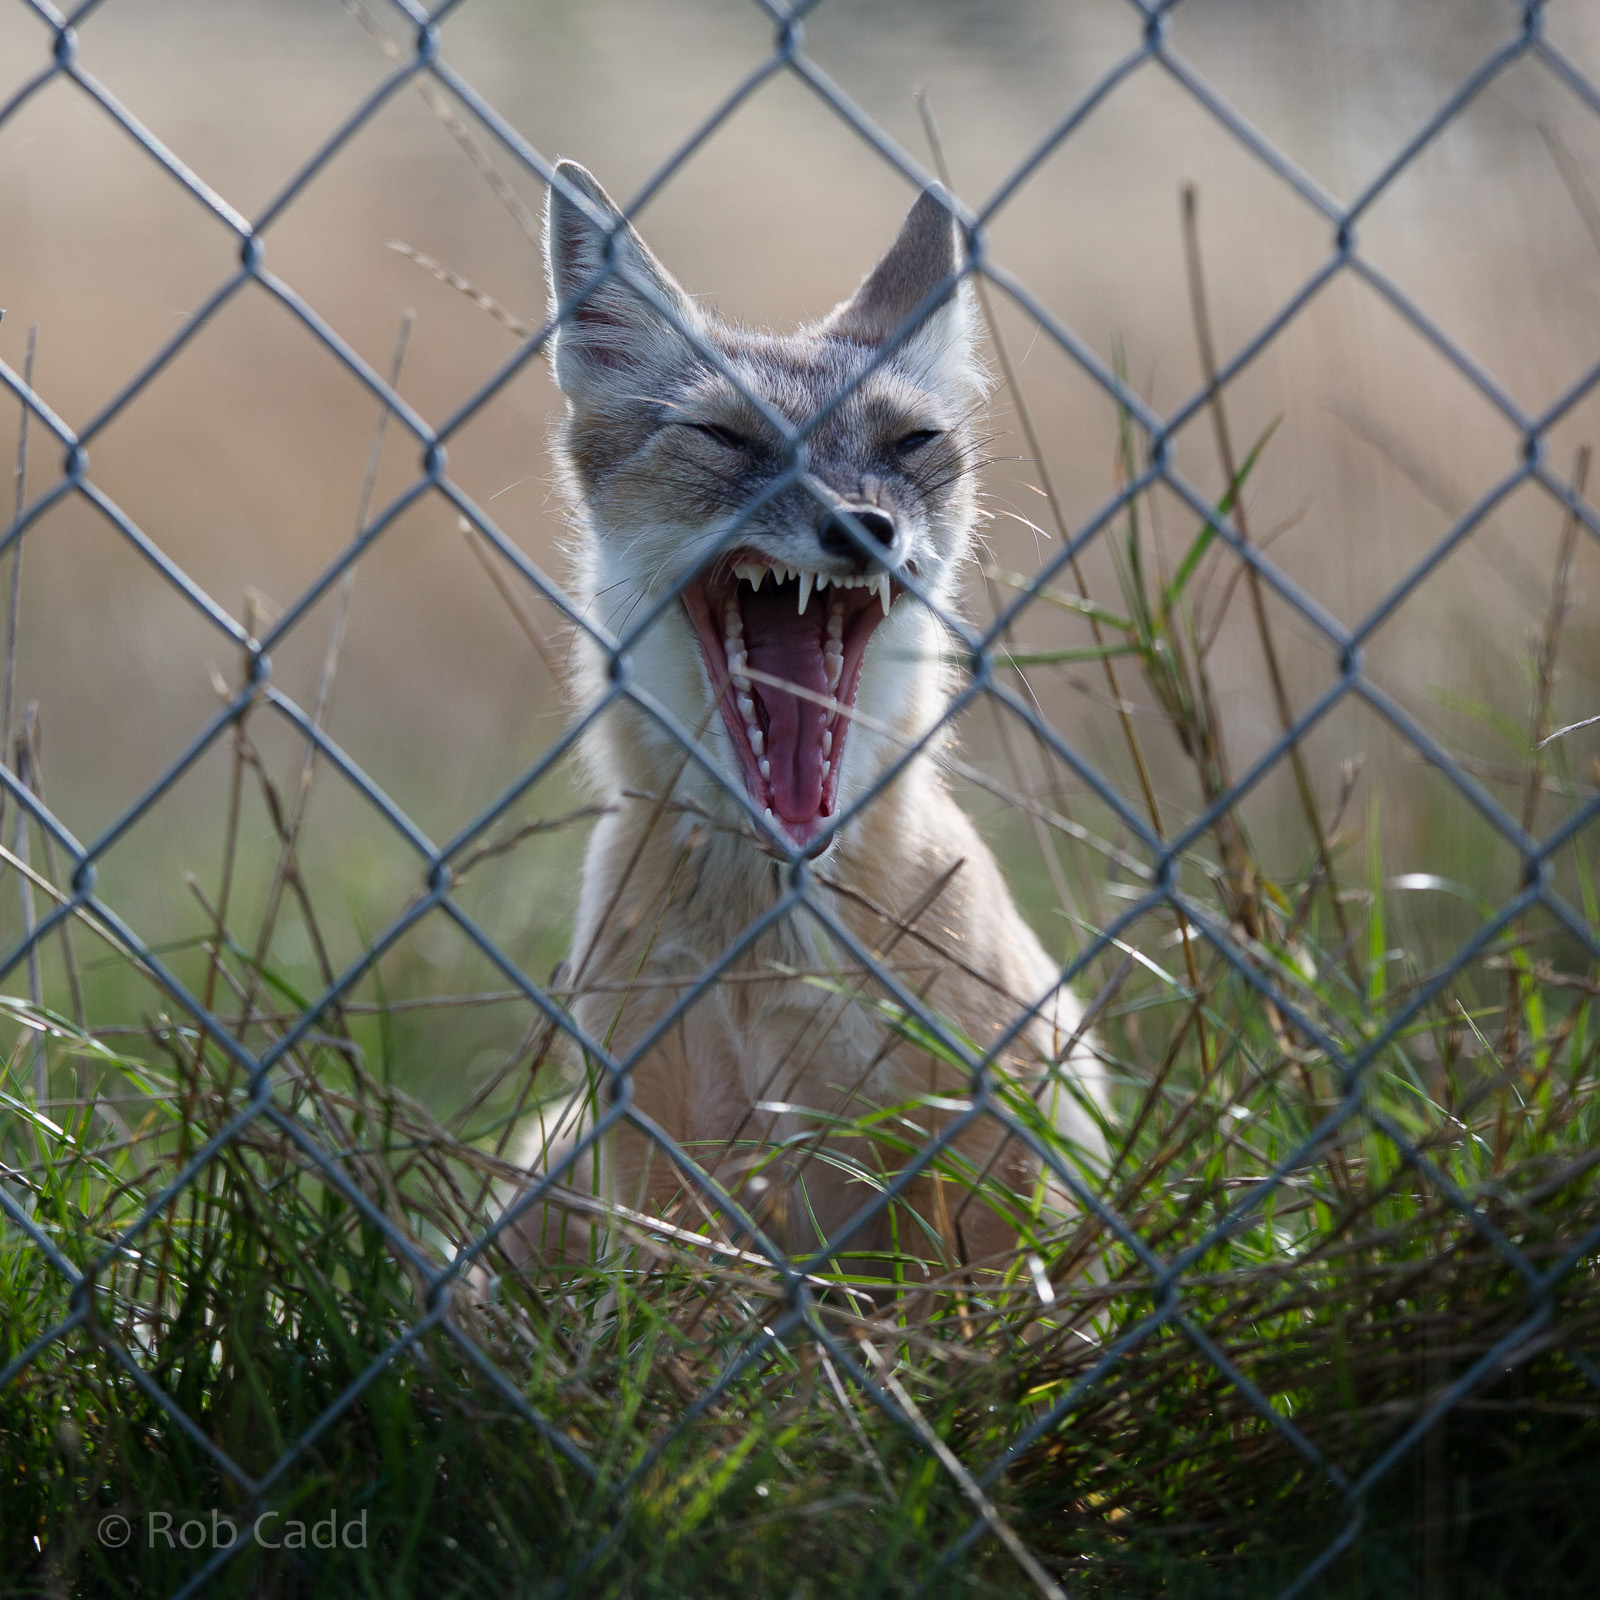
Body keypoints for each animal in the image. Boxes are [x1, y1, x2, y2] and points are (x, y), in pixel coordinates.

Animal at [507, 160, 1105, 1279]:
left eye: (913, 441)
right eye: (722, 435)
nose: (861, 527)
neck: (765, 954)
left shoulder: (984, 1178)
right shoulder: (662, 1172)